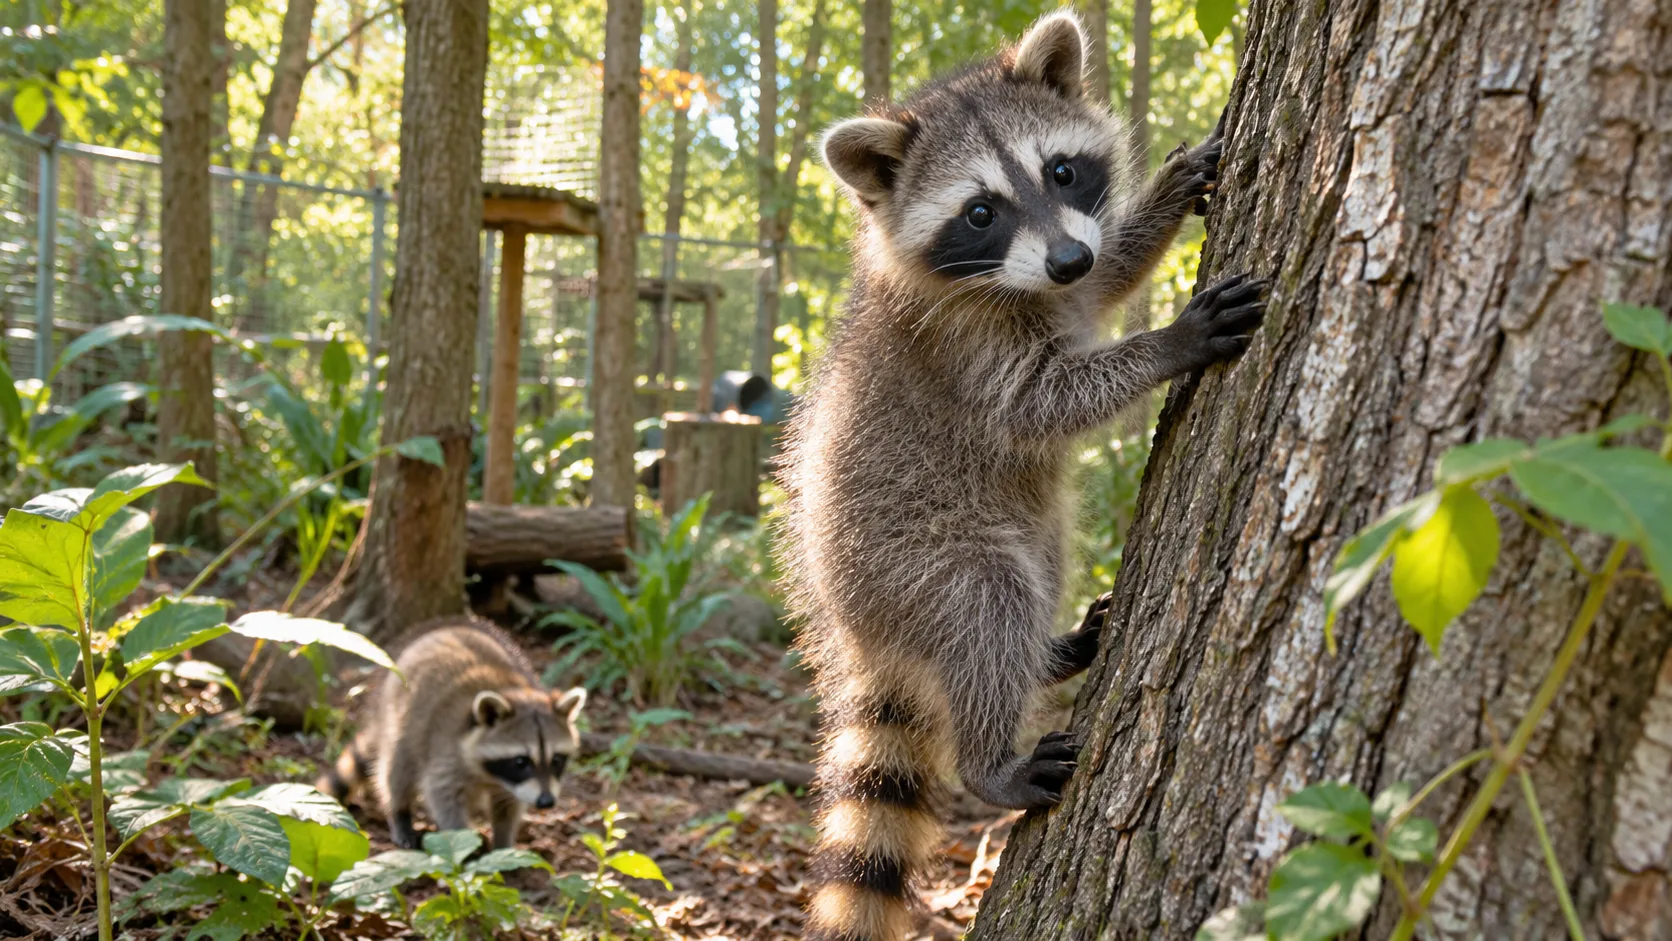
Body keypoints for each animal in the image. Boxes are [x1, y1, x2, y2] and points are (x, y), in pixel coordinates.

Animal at [320, 618, 588, 849]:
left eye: (557, 760)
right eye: (521, 761)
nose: (546, 802)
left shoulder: (513, 785)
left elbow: (508, 806)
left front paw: (503, 844)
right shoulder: (446, 748)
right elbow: (441, 794)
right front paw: (462, 842)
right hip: (400, 718)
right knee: (397, 769)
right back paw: (399, 813)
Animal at [777, 11, 1269, 939]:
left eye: (1062, 170)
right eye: (980, 213)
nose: (1067, 257)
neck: (1026, 286)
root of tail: (858, 630)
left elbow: (1110, 278)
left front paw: (1163, 198)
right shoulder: (966, 348)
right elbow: (1044, 404)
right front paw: (1165, 344)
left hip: (1025, 530)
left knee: (1035, 574)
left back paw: (1049, 653)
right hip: (916, 557)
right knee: (986, 607)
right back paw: (990, 757)